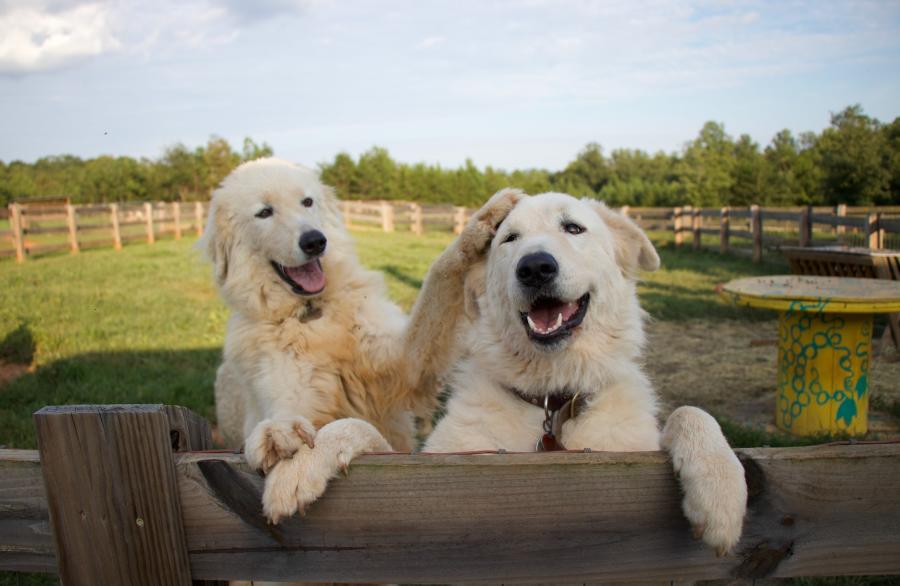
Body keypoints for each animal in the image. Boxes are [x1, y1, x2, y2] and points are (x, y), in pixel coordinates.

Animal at [201, 157, 516, 516]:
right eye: (264, 212)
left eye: (307, 202)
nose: (315, 241)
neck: (313, 315)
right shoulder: (294, 394)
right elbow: (299, 418)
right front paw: (282, 438)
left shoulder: (407, 364)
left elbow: (438, 278)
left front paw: (478, 225)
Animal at [426, 193, 748, 556]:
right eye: (510, 238)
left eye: (573, 228)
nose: (534, 268)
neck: (554, 399)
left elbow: (691, 412)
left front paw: (721, 493)